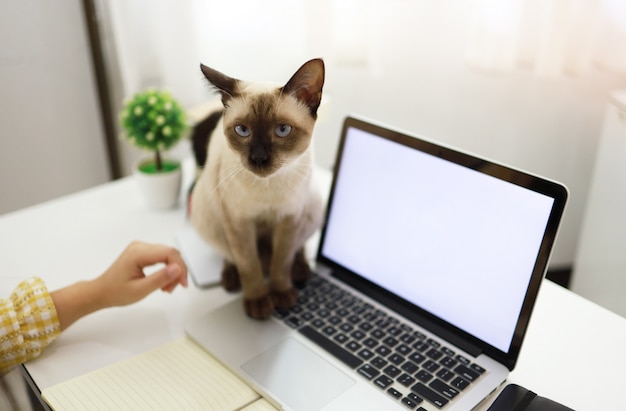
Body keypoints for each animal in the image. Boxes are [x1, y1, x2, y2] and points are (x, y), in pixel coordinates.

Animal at [189, 59, 326, 320]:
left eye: (282, 130)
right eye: (242, 131)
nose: (259, 159)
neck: (267, 186)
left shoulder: (289, 218)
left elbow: (281, 261)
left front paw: (282, 295)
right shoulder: (238, 222)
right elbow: (248, 265)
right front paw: (259, 304)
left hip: (313, 204)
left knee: (297, 247)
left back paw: (301, 272)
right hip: (206, 213)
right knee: (230, 254)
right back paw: (231, 279)